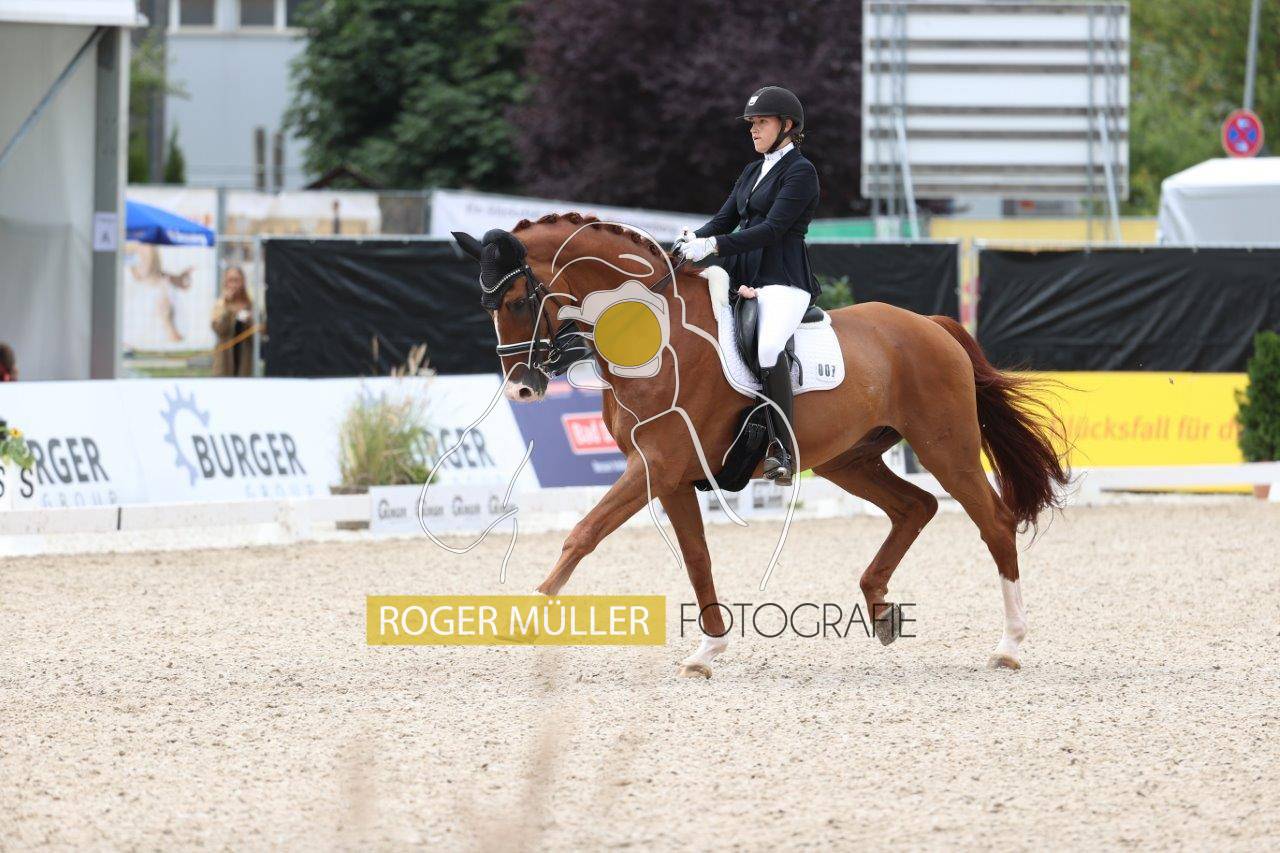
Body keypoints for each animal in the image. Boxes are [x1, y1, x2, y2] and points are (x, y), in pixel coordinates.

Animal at [453, 212, 1070, 678]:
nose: (522, 389)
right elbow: (697, 558)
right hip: (851, 458)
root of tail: (932, 325)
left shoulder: (655, 465)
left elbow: (582, 535)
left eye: (517, 298)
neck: (652, 335)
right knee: (915, 507)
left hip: (947, 448)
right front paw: (708, 651)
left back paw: (1009, 645)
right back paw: (881, 610)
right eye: (487, 304)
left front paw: (529, 615)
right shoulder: (668, 475)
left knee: (993, 522)